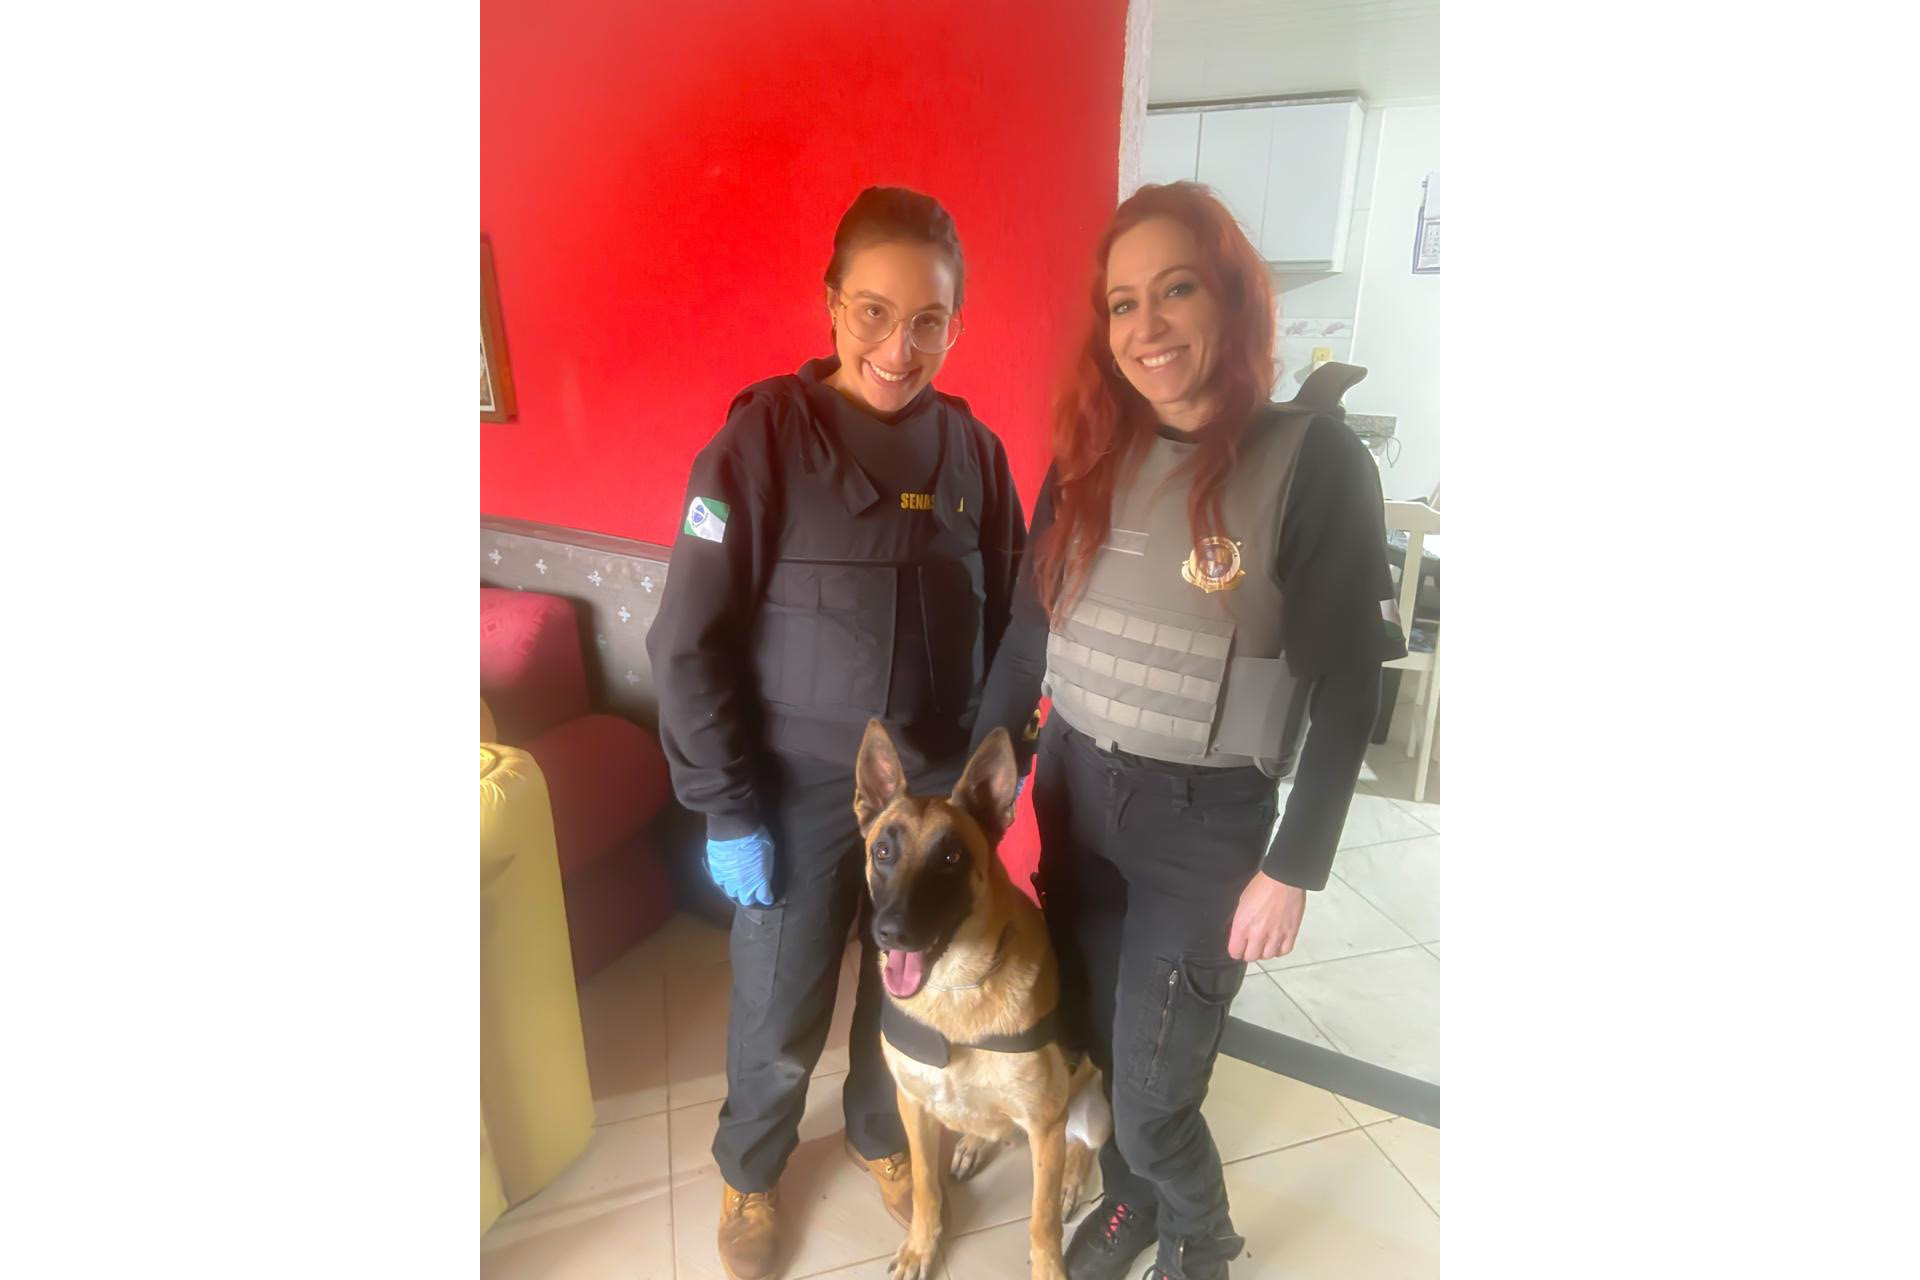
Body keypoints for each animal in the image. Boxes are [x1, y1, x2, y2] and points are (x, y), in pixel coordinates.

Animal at [854, 720, 1109, 1280]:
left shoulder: (1046, 1123)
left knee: (1084, 1147)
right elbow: (926, 1188)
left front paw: (1050, 1268)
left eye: (951, 858)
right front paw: (922, 1247)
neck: (953, 993)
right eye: (883, 852)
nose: (890, 933)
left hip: (1092, 1109)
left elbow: (1041, 1223)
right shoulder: (913, 1106)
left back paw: (1068, 1181)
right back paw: (974, 1141)